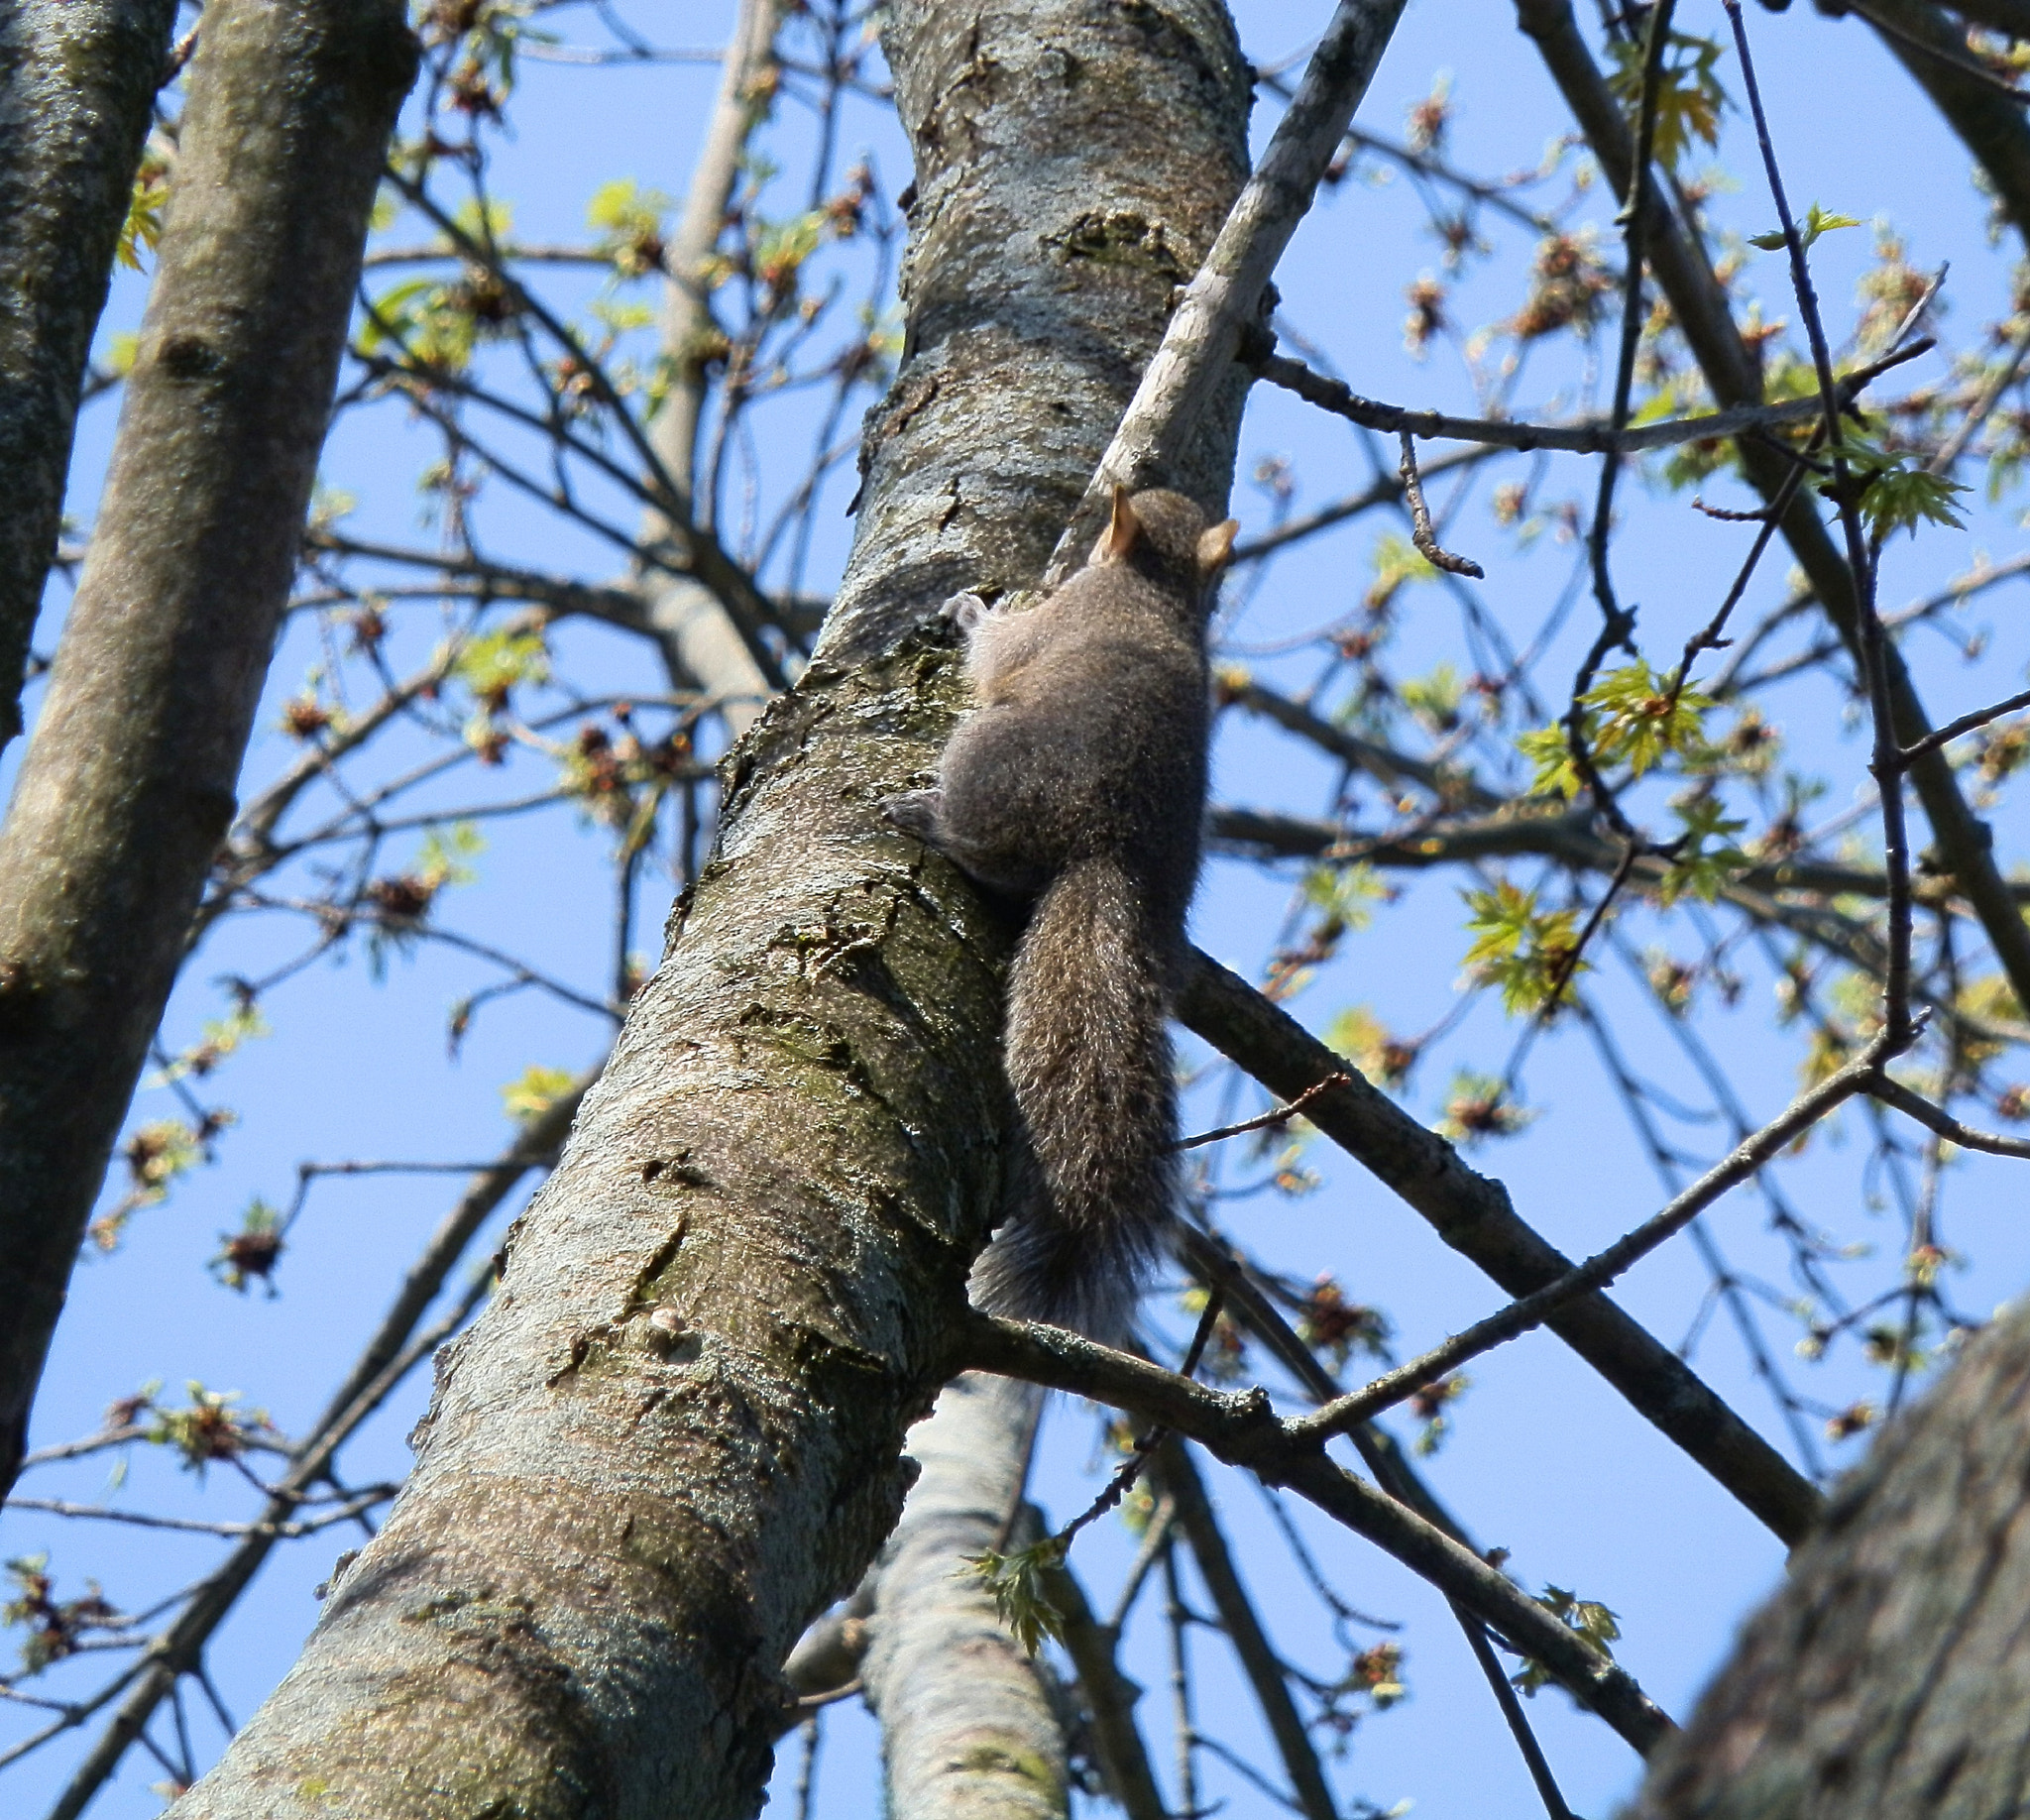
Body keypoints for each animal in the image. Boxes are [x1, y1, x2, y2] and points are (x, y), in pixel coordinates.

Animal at [889, 483, 1234, 1332]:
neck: (1158, 587)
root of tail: (1109, 849)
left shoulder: (1051, 622)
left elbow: (997, 650)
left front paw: (971, 613)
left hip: (987, 759)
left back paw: (929, 821)